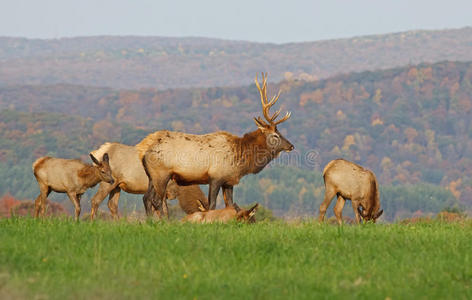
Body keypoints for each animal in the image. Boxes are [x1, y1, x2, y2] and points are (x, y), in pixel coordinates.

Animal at [136, 74, 292, 216]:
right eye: (275, 135)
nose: (291, 146)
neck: (240, 160)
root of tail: (143, 149)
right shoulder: (216, 176)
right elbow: (212, 205)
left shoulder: (229, 181)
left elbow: (230, 205)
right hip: (162, 174)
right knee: (156, 200)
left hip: (152, 176)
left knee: (146, 198)